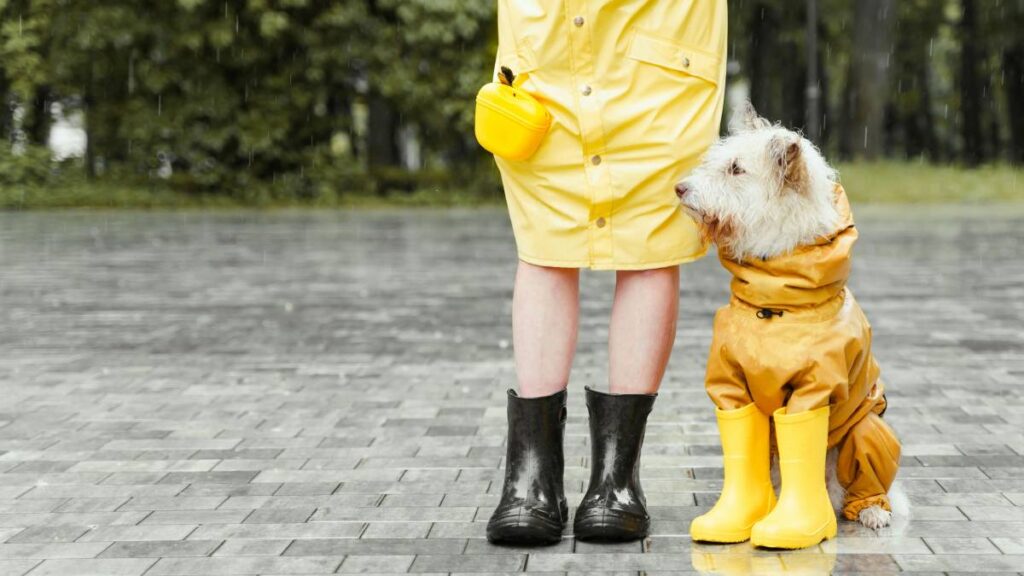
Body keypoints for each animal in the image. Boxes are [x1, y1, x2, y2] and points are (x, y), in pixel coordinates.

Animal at [679, 101, 905, 528]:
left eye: (736, 169)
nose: (679, 188)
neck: (776, 300)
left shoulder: (816, 388)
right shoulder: (730, 383)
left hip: (866, 427)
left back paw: (867, 508)